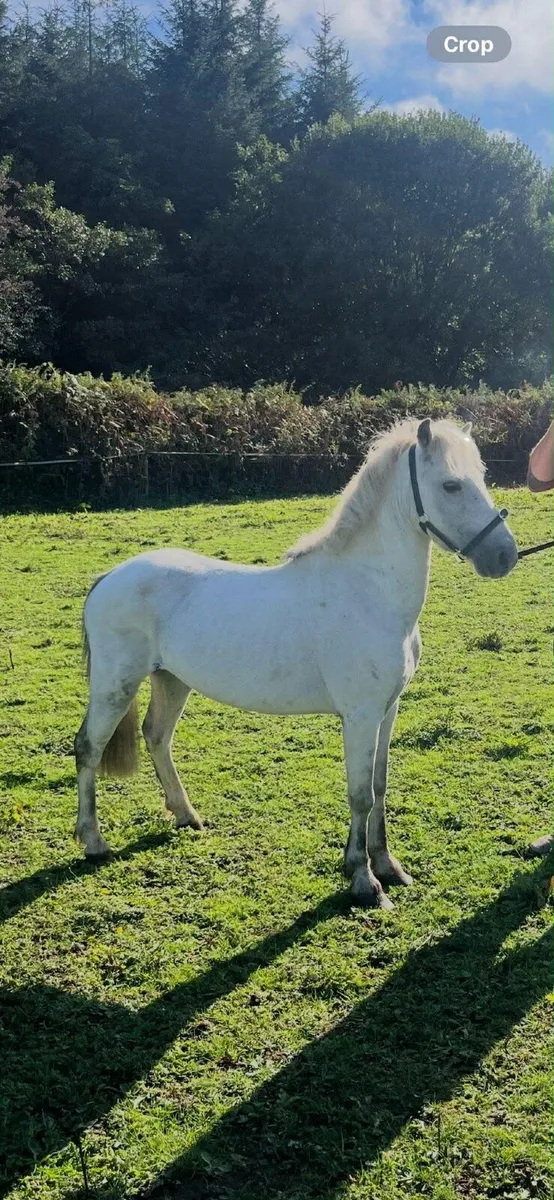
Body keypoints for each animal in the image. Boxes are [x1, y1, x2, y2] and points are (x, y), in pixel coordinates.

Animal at [74, 417, 518, 908]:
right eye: (451, 485)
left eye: (481, 476)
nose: (505, 555)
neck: (366, 592)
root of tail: (108, 578)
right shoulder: (360, 716)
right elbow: (361, 794)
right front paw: (364, 881)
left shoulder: (388, 710)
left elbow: (380, 787)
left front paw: (388, 866)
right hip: (115, 684)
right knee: (89, 747)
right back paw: (94, 841)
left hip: (171, 679)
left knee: (156, 737)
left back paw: (186, 816)